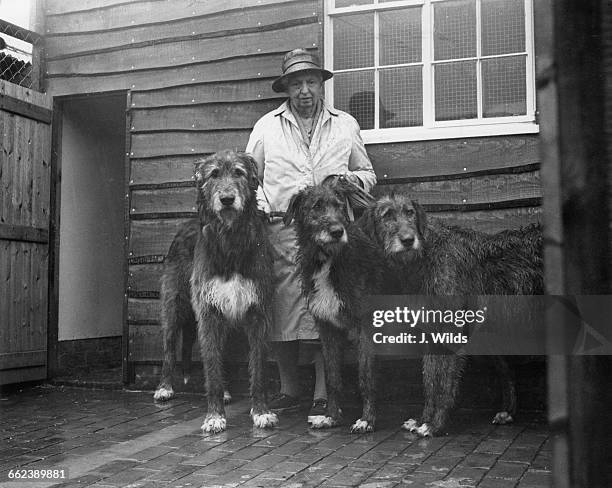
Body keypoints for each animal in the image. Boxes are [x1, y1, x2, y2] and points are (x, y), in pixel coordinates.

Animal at [153, 151, 278, 432]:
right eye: (213, 175)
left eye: (239, 172)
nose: (227, 199)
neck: (230, 240)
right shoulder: (209, 311)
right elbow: (210, 364)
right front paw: (214, 415)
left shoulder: (258, 311)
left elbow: (258, 366)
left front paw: (261, 411)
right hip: (173, 305)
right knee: (169, 347)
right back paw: (165, 387)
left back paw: (228, 391)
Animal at [356, 196, 544, 436]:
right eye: (387, 215)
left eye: (410, 212)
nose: (408, 240)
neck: (425, 254)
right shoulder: (430, 332)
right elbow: (429, 379)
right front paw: (423, 419)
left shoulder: (450, 332)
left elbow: (444, 382)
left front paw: (435, 425)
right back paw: (507, 412)